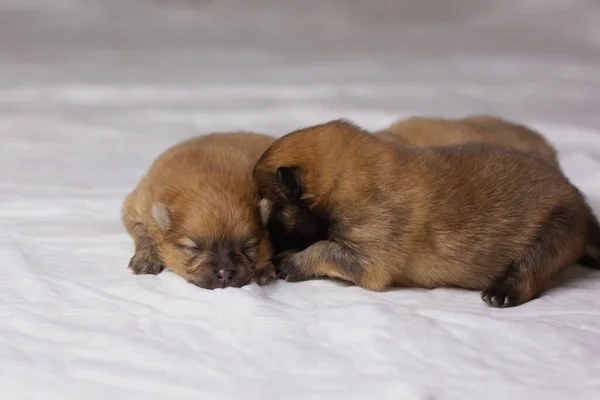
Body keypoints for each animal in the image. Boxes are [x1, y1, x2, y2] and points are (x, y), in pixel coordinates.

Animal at [122, 133, 276, 290]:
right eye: (194, 248)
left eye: (248, 247)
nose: (225, 274)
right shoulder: (137, 207)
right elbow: (144, 233)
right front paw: (146, 259)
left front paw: (264, 268)